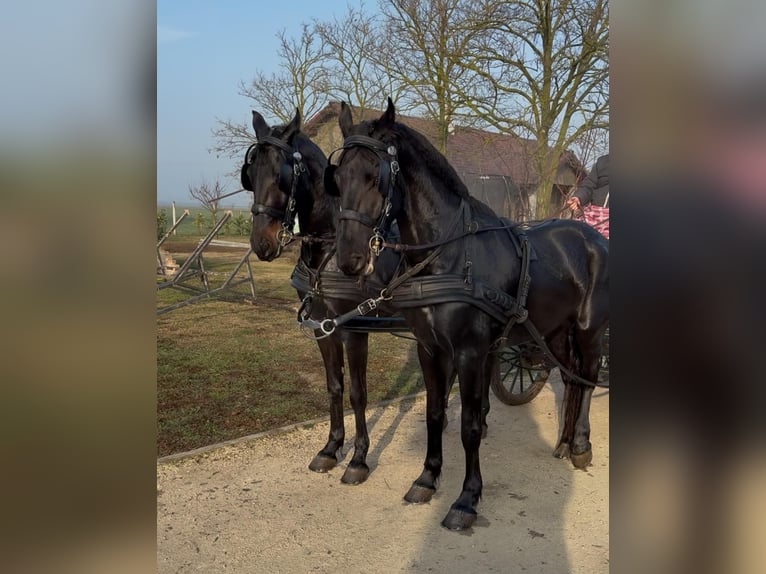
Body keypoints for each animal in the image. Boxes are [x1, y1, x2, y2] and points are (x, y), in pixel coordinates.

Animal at [242, 109, 455, 485]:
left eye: (282, 175)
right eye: (251, 175)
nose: (262, 244)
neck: (326, 250)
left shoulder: (354, 329)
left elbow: (358, 393)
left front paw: (358, 458)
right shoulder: (322, 327)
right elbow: (334, 386)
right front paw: (331, 448)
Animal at [325, 99, 609, 530]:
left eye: (376, 176)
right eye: (338, 178)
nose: (350, 259)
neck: (448, 255)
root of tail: (591, 238)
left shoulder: (472, 352)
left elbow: (471, 425)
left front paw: (466, 499)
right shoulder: (430, 349)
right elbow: (434, 413)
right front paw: (426, 478)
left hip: (590, 330)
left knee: (588, 380)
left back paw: (579, 445)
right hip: (555, 332)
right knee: (571, 379)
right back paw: (561, 444)